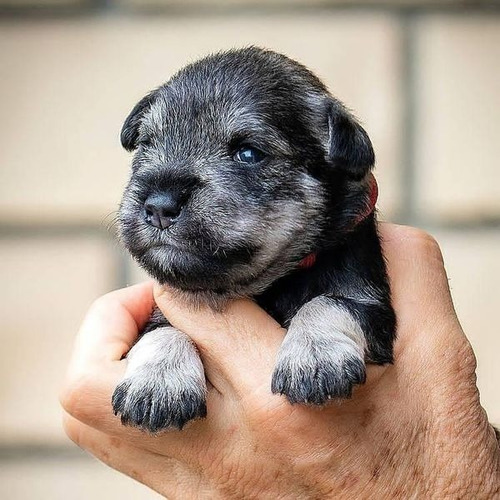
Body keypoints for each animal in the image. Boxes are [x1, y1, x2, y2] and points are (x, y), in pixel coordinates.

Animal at [112, 47, 394, 432]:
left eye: (248, 154)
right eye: (146, 143)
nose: (158, 205)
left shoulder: (373, 307)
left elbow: (330, 302)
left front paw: (314, 354)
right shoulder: (157, 314)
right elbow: (161, 332)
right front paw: (157, 382)